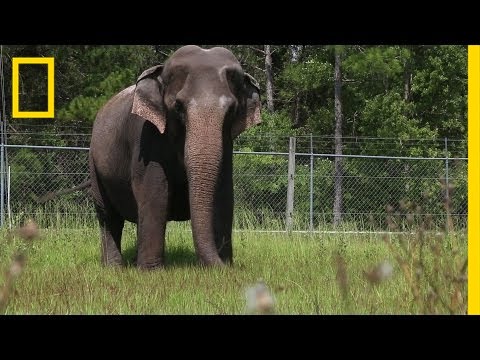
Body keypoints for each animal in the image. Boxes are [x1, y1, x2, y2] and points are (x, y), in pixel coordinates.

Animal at [90, 45, 262, 268]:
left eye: (232, 110)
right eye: (178, 107)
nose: (223, 264)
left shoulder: (226, 146)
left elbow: (224, 194)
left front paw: (225, 265)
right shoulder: (146, 137)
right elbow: (155, 191)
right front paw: (151, 271)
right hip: (94, 161)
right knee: (107, 215)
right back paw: (114, 267)